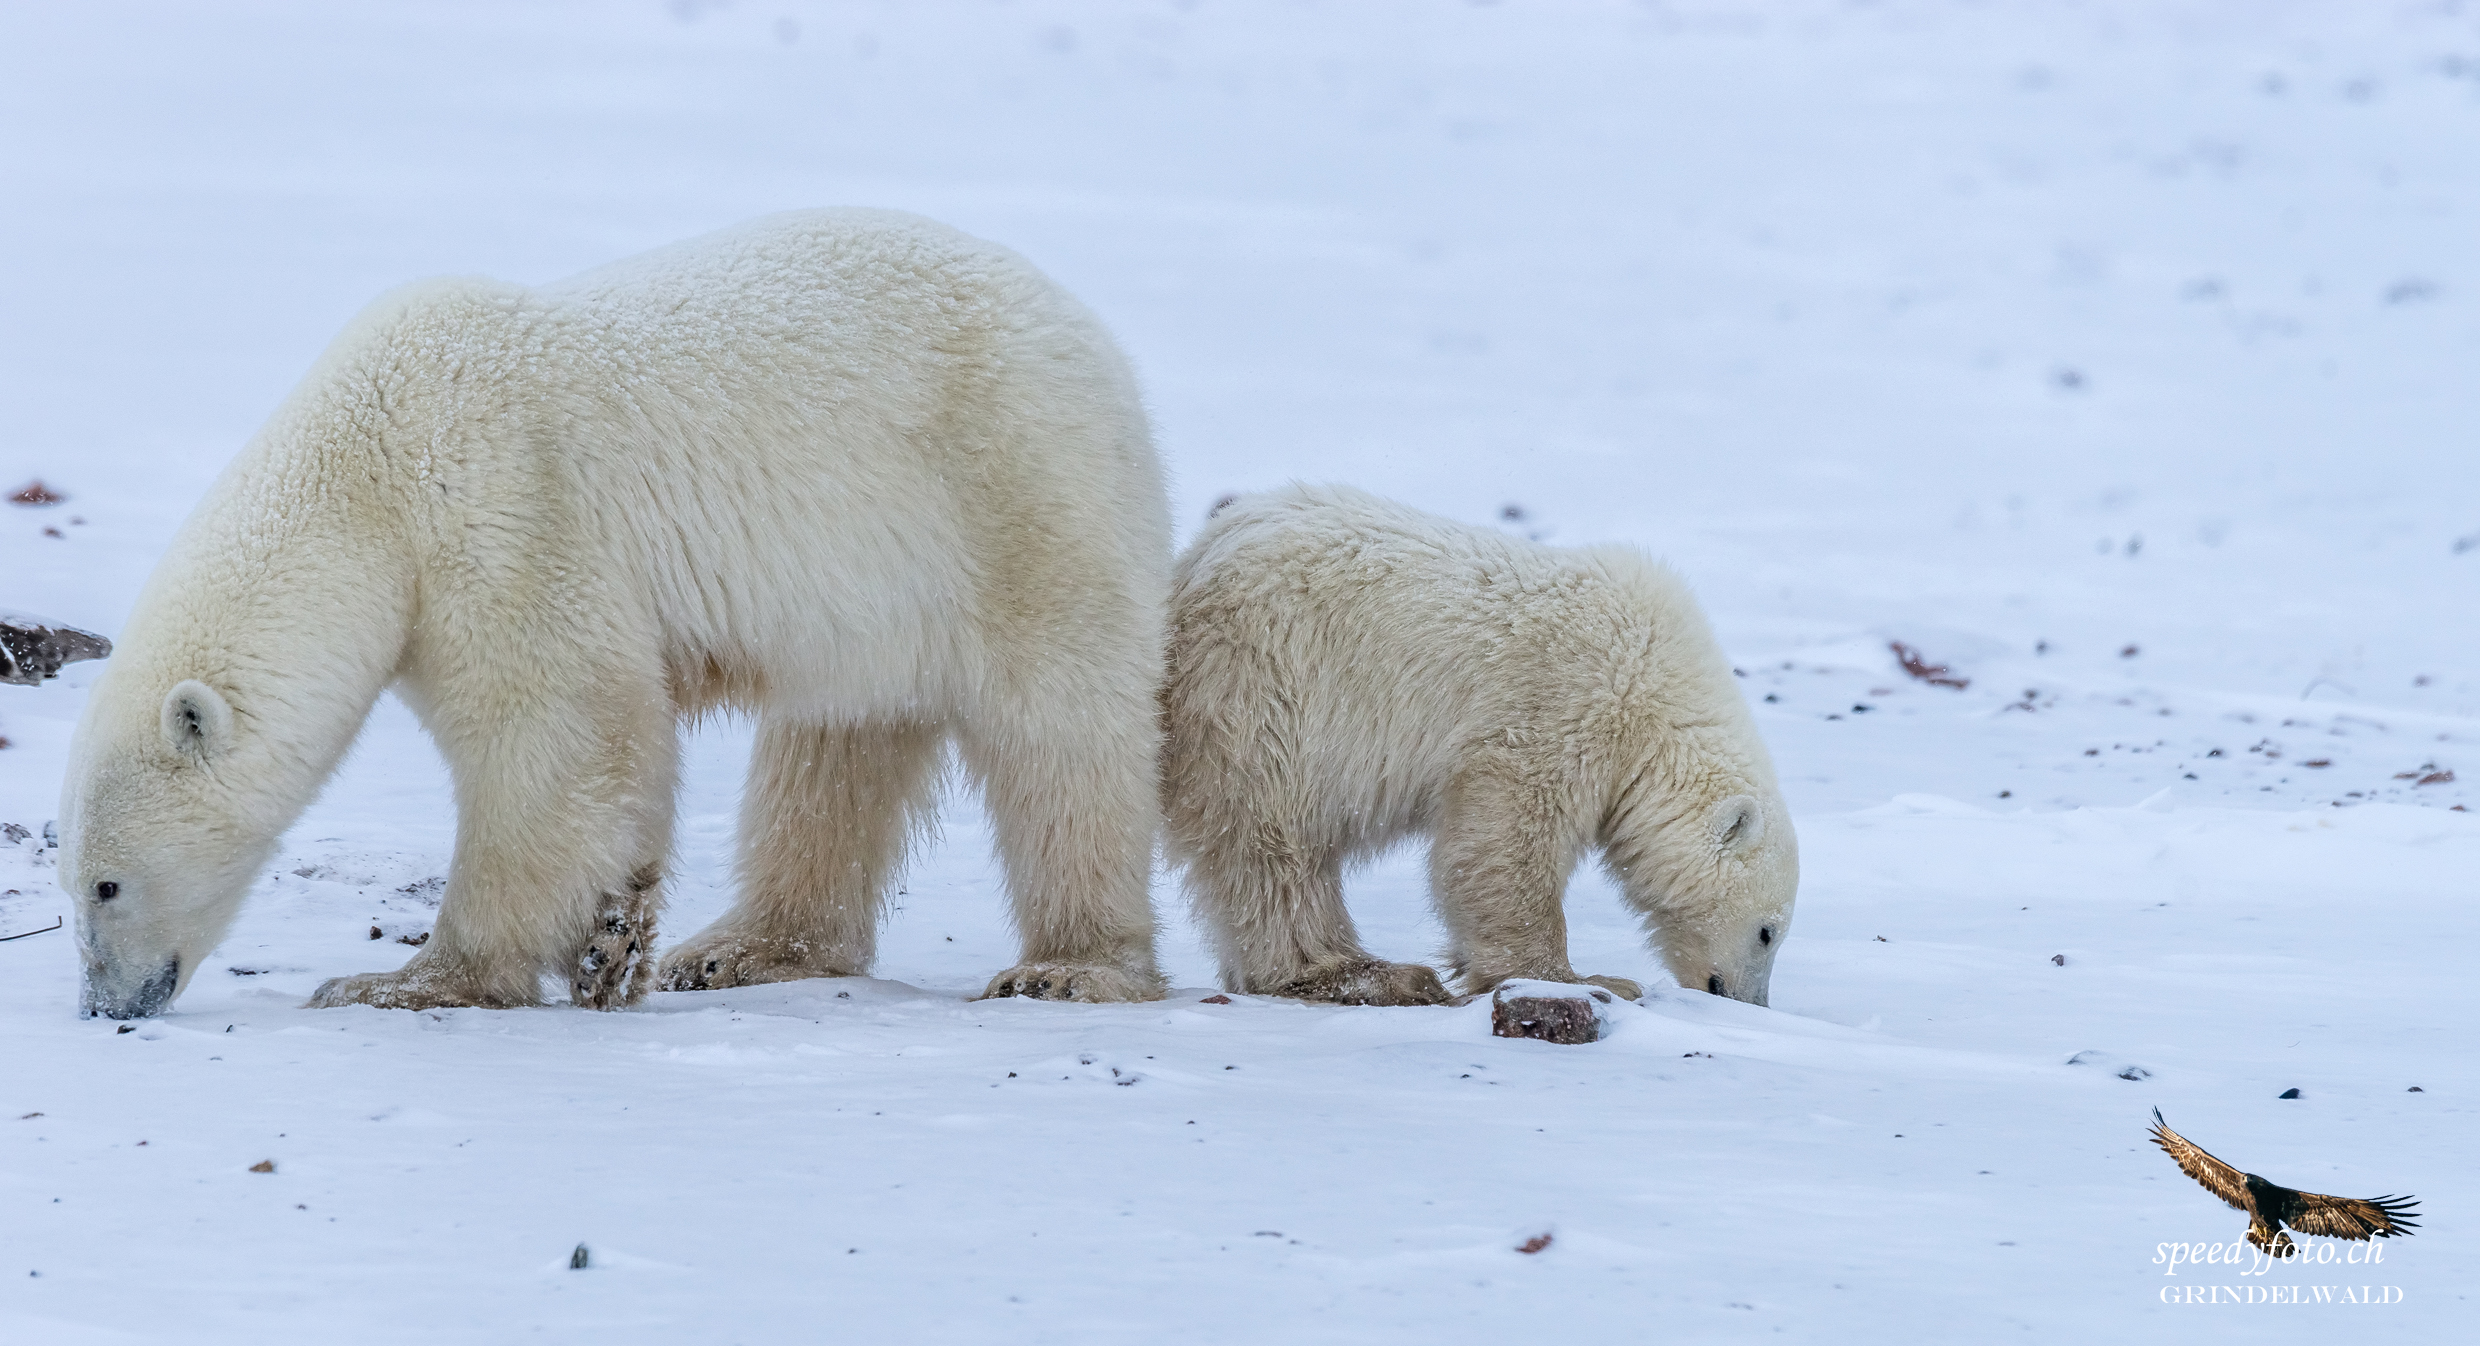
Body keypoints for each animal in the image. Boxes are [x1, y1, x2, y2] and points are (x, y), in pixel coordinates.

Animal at [60, 208, 1170, 1021]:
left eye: (105, 884)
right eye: (73, 879)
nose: (107, 1007)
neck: (364, 473)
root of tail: (1097, 341)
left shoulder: (500, 510)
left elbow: (561, 731)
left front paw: (403, 979)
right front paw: (611, 943)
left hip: (1014, 498)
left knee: (1060, 734)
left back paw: (1071, 966)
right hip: (874, 595)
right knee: (832, 746)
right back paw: (742, 948)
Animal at [1150, 490, 1795, 1006]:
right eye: (1768, 931)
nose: (1748, 1000)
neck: (1657, 688)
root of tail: (1190, 567)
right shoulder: (1561, 702)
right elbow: (1507, 837)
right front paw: (1581, 978)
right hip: (1268, 691)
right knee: (1273, 842)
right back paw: (1363, 974)